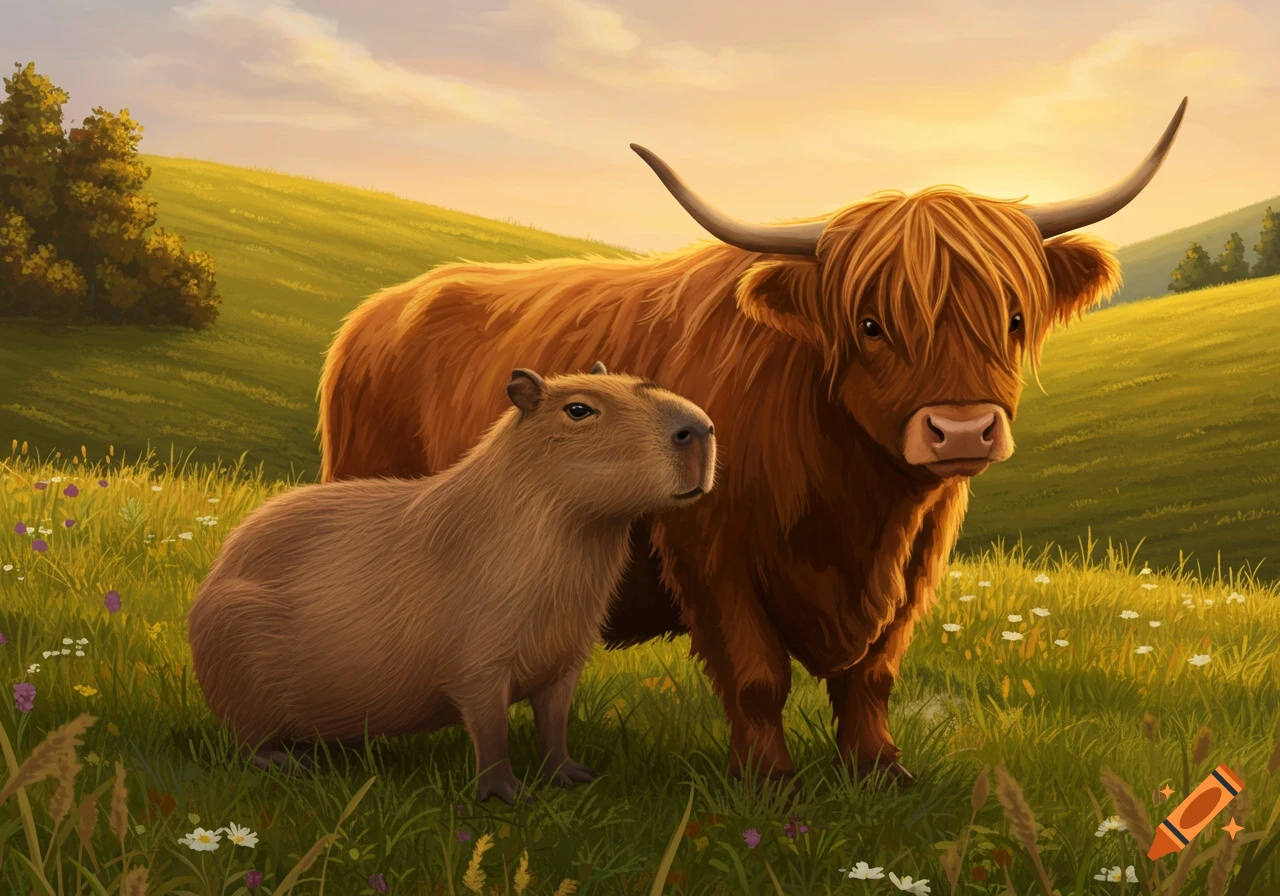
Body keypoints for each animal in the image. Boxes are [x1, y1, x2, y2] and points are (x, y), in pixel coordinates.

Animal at [316, 99, 1187, 786]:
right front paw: (769, 781)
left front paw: (879, 770)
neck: (856, 500)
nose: (964, 428)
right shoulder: (710, 551)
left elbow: (873, 674)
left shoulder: (917, 560)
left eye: (1012, 317)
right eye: (869, 323)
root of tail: (377, 311)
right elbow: (758, 675)